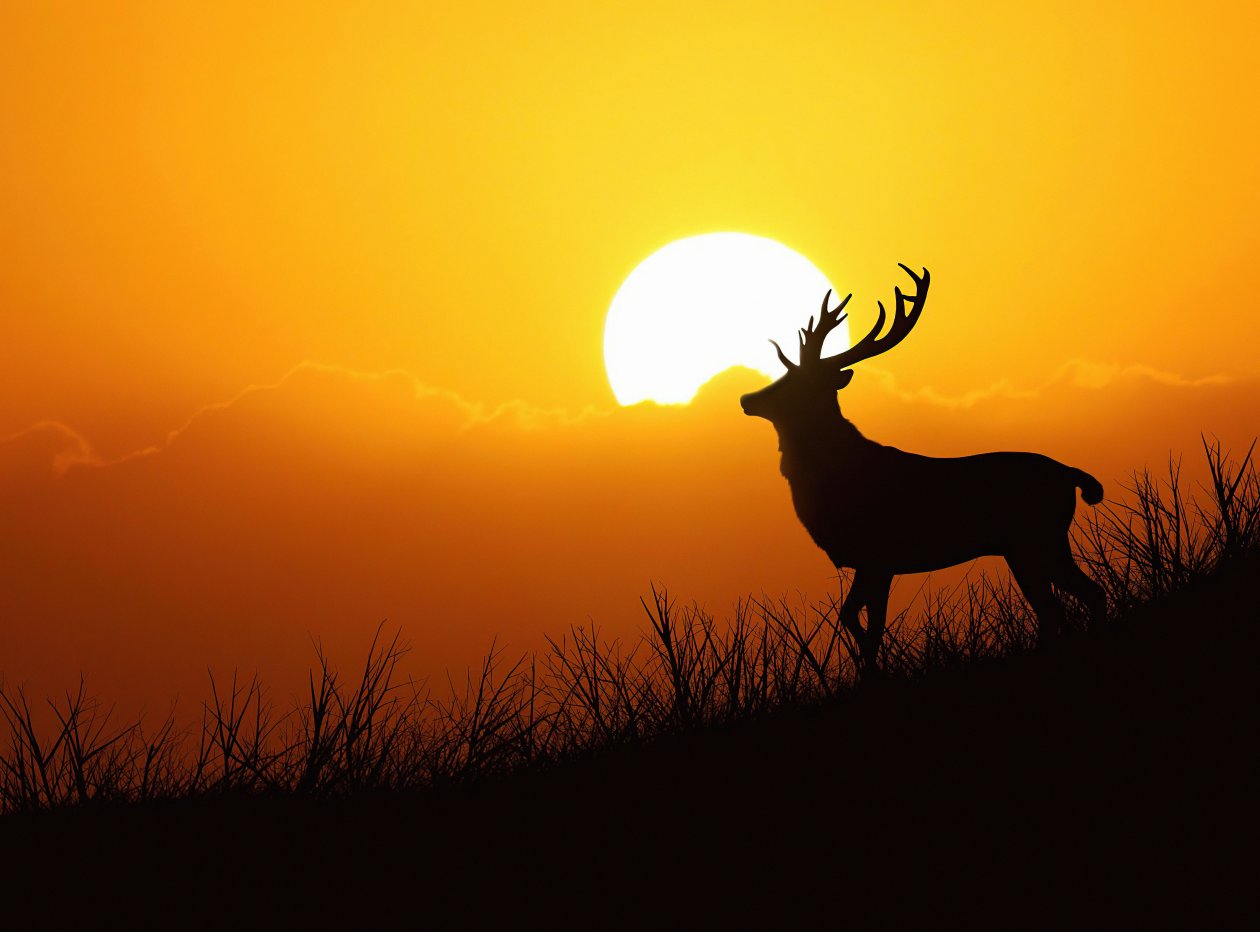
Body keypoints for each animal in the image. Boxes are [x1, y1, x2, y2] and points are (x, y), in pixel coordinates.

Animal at [740, 264, 1106, 675]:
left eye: (795, 381)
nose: (747, 398)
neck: (835, 478)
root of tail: (1071, 474)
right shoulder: (872, 562)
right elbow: (854, 617)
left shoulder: (879, 556)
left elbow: (868, 624)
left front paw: (873, 672)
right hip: (1034, 545)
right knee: (1070, 603)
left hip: (1036, 539)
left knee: (1071, 602)